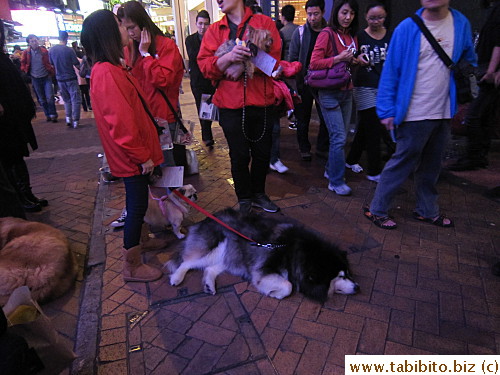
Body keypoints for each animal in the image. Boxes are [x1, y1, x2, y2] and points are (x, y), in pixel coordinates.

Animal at [168, 209, 360, 302]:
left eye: (348, 273)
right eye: (340, 276)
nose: (358, 287)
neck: (298, 252)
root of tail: (209, 217)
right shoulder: (264, 269)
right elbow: (288, 285)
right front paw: (275, 293)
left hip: (231, 254)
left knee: (210, 268)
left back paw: (209, 284)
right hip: (216, 246)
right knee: (187, 262)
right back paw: (176, 278)